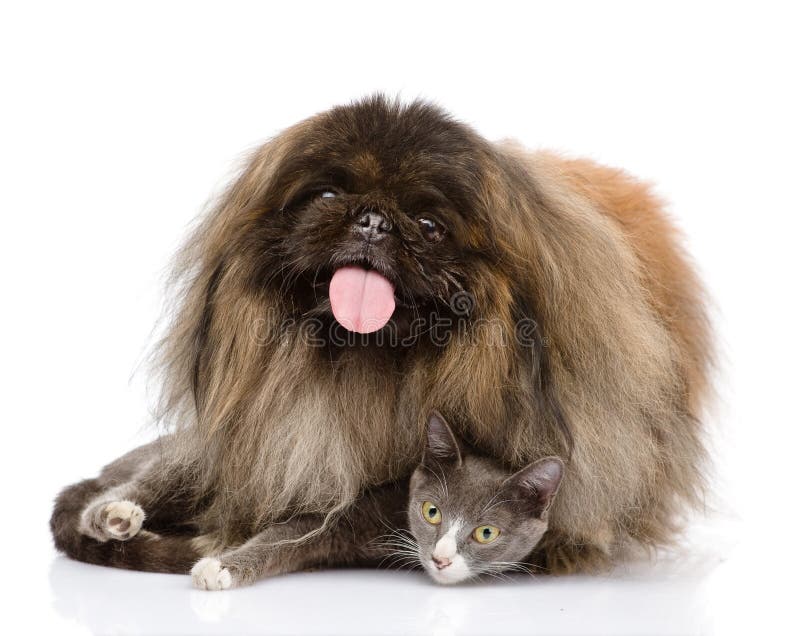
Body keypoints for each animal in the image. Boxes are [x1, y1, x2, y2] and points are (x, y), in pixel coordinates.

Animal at [51, 95, 712, 576]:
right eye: (327, 195)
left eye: (428, 224)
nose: (372, 220)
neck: (372, 364)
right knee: (143, 482)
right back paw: (113, 514)